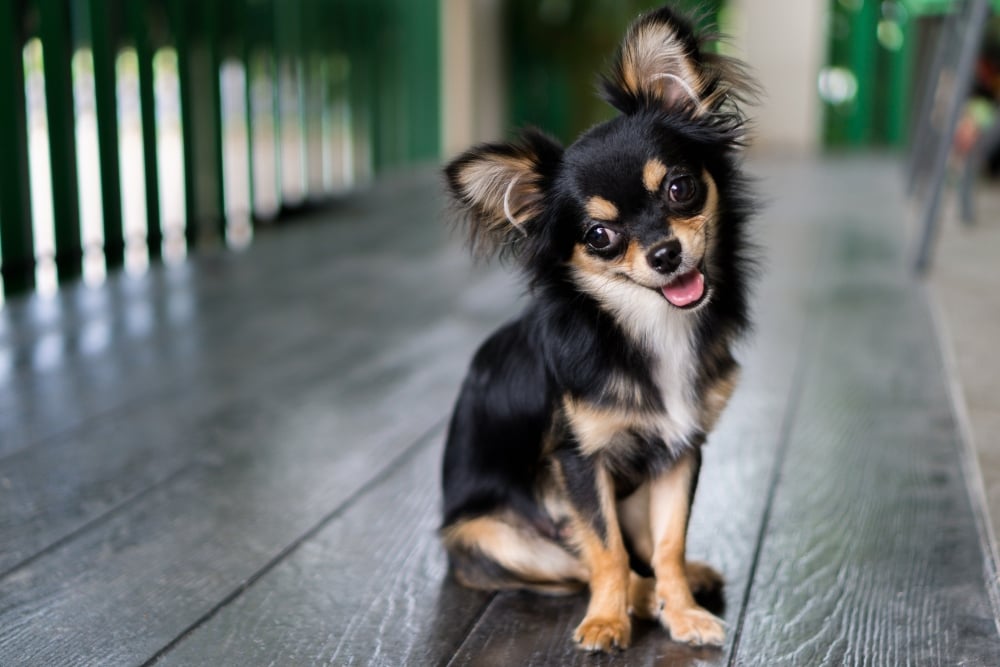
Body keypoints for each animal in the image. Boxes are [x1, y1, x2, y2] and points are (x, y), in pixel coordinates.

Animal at [438, 3, 756, 652]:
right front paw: (609, 620)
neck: (651, 325)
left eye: (681, 188)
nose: (664, 253)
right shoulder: (579, 463)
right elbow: (605, 551)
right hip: (488, 536)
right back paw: (636, 599)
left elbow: (668, 541)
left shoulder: (681, 450)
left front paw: (683, 611)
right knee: (581, 560)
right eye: (600, 236)